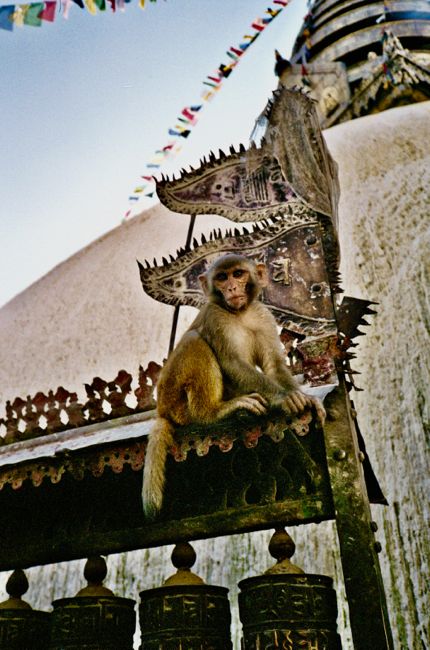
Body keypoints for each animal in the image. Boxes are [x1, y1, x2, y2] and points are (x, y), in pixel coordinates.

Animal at [142, 254, 325, 517]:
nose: (231, 288)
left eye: (238, 274)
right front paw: (284, 398)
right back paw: (213, 411)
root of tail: (161, 410)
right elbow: (232, 362)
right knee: (195, 340)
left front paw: (301, 397)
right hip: (175, 399)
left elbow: (273, 365)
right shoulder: (214, 316)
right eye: (221, 277)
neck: (241, 313)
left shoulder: (263, 314)